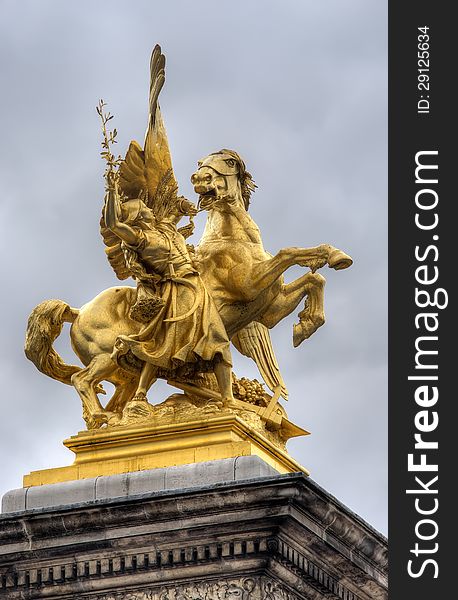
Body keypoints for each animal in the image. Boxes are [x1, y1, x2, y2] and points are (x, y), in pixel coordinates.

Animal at [23, 47, 352, 432]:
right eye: (201, 163)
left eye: (226, 161)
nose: (197, 178)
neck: (234, 235)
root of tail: (78, 311)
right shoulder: (250, 283)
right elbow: (290, 253)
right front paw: (330, 263)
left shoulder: (268, 309)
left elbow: (313, 280)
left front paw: (307, 320)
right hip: (108, 357)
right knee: (82, 379)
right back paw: (104, 417)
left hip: (122, 370)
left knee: (120, 390)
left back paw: (130, 416)